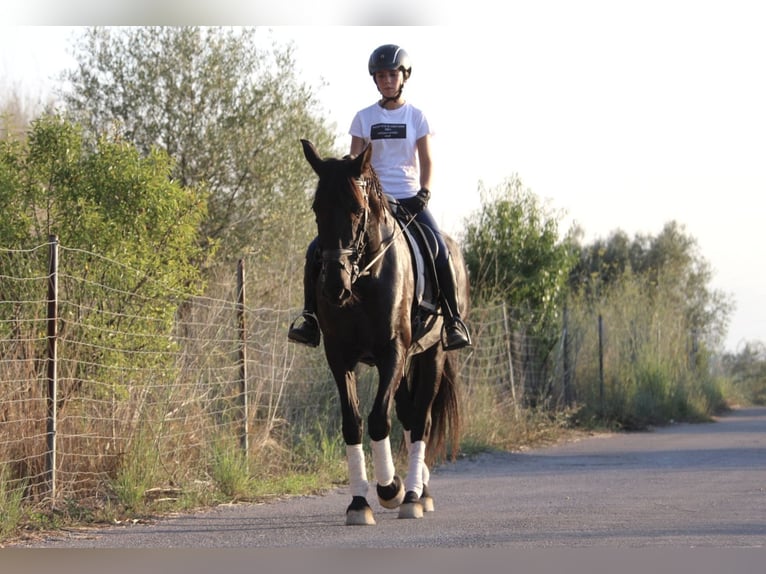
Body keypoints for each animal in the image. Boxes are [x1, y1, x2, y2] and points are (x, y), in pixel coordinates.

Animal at [298, 140, 468, 528]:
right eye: (317, 209)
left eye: (357, 210)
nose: (334, 286)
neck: (364, 278)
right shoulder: (339, 356)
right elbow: (353, 423)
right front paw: (359, 503)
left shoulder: (394, 352)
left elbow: (378, 420)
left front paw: (389, 488)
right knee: (407, 414)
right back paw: (420, 490)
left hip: (431, 354)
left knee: (421, 420)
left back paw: (413, 496)